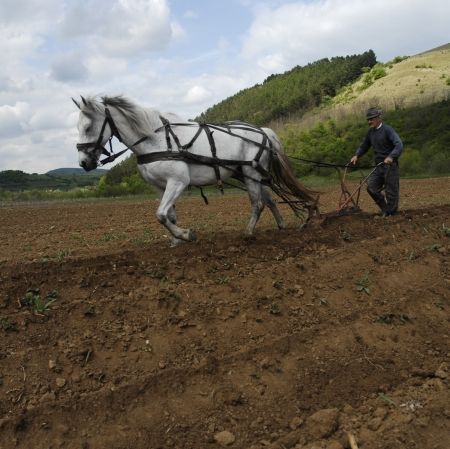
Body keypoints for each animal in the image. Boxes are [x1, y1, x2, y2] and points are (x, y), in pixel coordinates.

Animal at [74, 93, 318, 243]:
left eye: (87, 127)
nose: (84, 163)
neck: (156, 140)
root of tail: (263, 131)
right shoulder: (160, 187)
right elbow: (169, 215)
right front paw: (176, 239)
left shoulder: (178, 182)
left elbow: (160, 214)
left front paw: (185, 235)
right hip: (250, 175)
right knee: (270, 199)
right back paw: (281, 225)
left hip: (251, 174)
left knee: (258, 203)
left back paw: (249, 232)